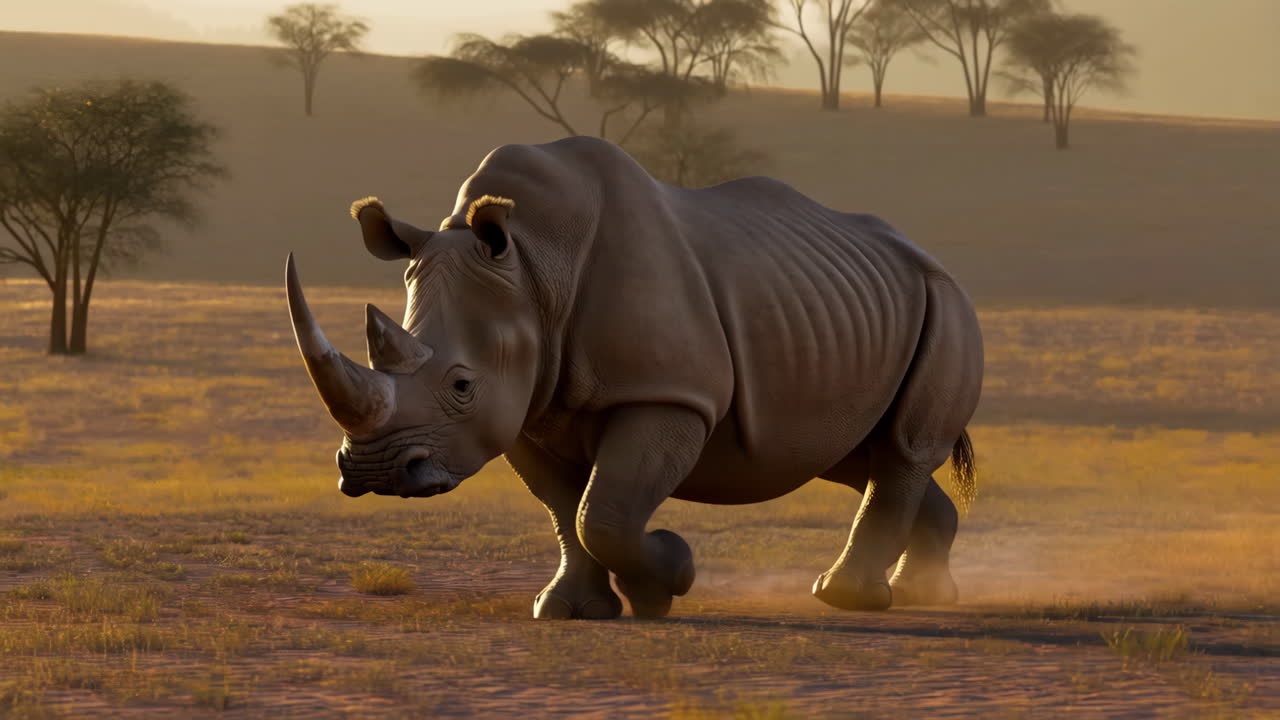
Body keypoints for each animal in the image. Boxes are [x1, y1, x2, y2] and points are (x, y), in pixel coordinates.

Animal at [286, 136, 983, 619]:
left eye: (461, 385)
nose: (374, 472)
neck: (535, 271)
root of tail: (928, 257)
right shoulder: (525, 412)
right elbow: (564, 508)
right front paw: (570, 610)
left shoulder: (666, 394)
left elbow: (605, 510)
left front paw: (669, 576)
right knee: (854, 454)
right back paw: (923, 594)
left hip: (947, 301)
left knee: (903, 449)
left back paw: (847, 598)